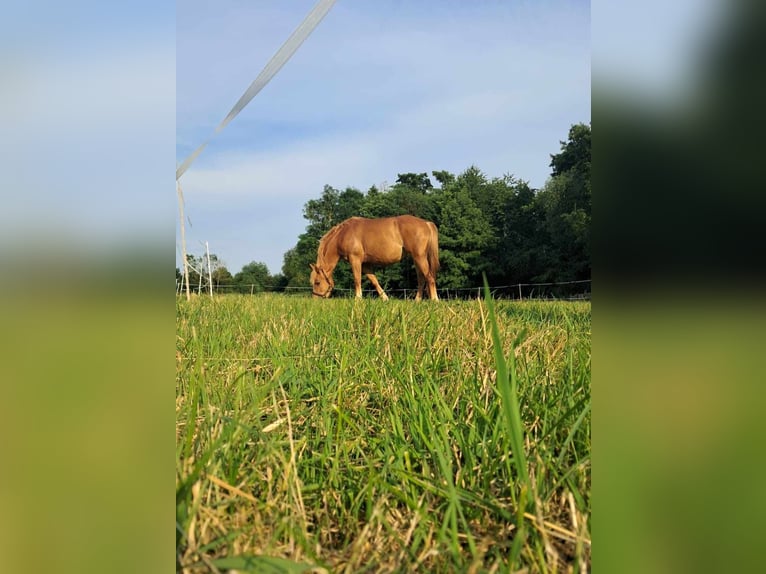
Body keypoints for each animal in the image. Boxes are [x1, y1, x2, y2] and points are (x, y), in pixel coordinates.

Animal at [310, 216, 440, 304]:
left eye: (317, 282)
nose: (315, 300)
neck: (343, 234)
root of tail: (426, 223)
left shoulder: (355, 260)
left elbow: (357, 280)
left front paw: (358, 299)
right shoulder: (366, 264)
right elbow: (374, 281)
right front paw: (385, 298)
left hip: (419, 257)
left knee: (429, 277)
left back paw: (435, 300)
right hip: (416, 259)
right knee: (421, 279)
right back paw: (417, 300)